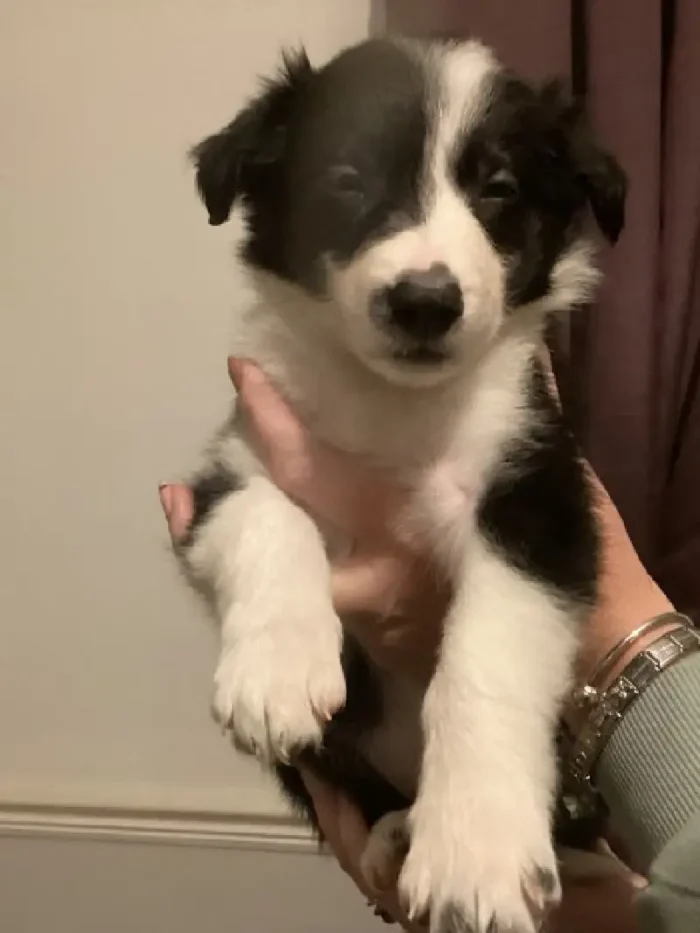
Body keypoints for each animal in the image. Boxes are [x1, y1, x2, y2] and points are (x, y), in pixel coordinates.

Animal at [178, 36, 628, 932]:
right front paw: (276, 670)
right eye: (347, 180)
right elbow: (268, 518)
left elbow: (486, 656)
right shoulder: (233, 461)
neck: (397, 405)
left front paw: (475, 851)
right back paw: (392, 829)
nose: (425, 301)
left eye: (499, 189)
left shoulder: (544, 499)